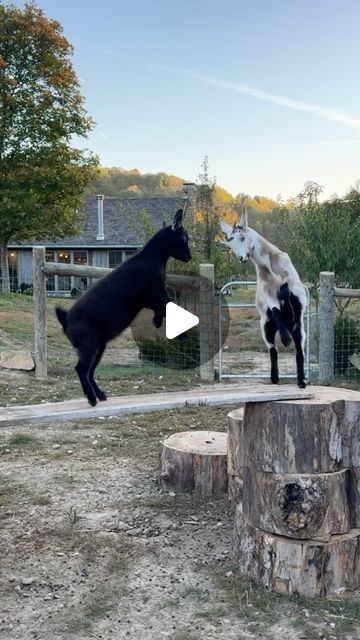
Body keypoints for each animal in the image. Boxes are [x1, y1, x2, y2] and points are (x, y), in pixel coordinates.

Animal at [55, 208, 191, 404]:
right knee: (81, 369)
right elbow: (166, 307)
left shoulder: (149, 298)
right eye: (184, 238)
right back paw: (92, 398)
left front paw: (164, 325)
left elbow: (165, 307)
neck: (153, 258)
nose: (189, 257)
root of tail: (65, 320)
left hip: (98, 346)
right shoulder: (153, 293)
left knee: (90, 371)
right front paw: (167, 326)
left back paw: (100, 395)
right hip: (89, 344)